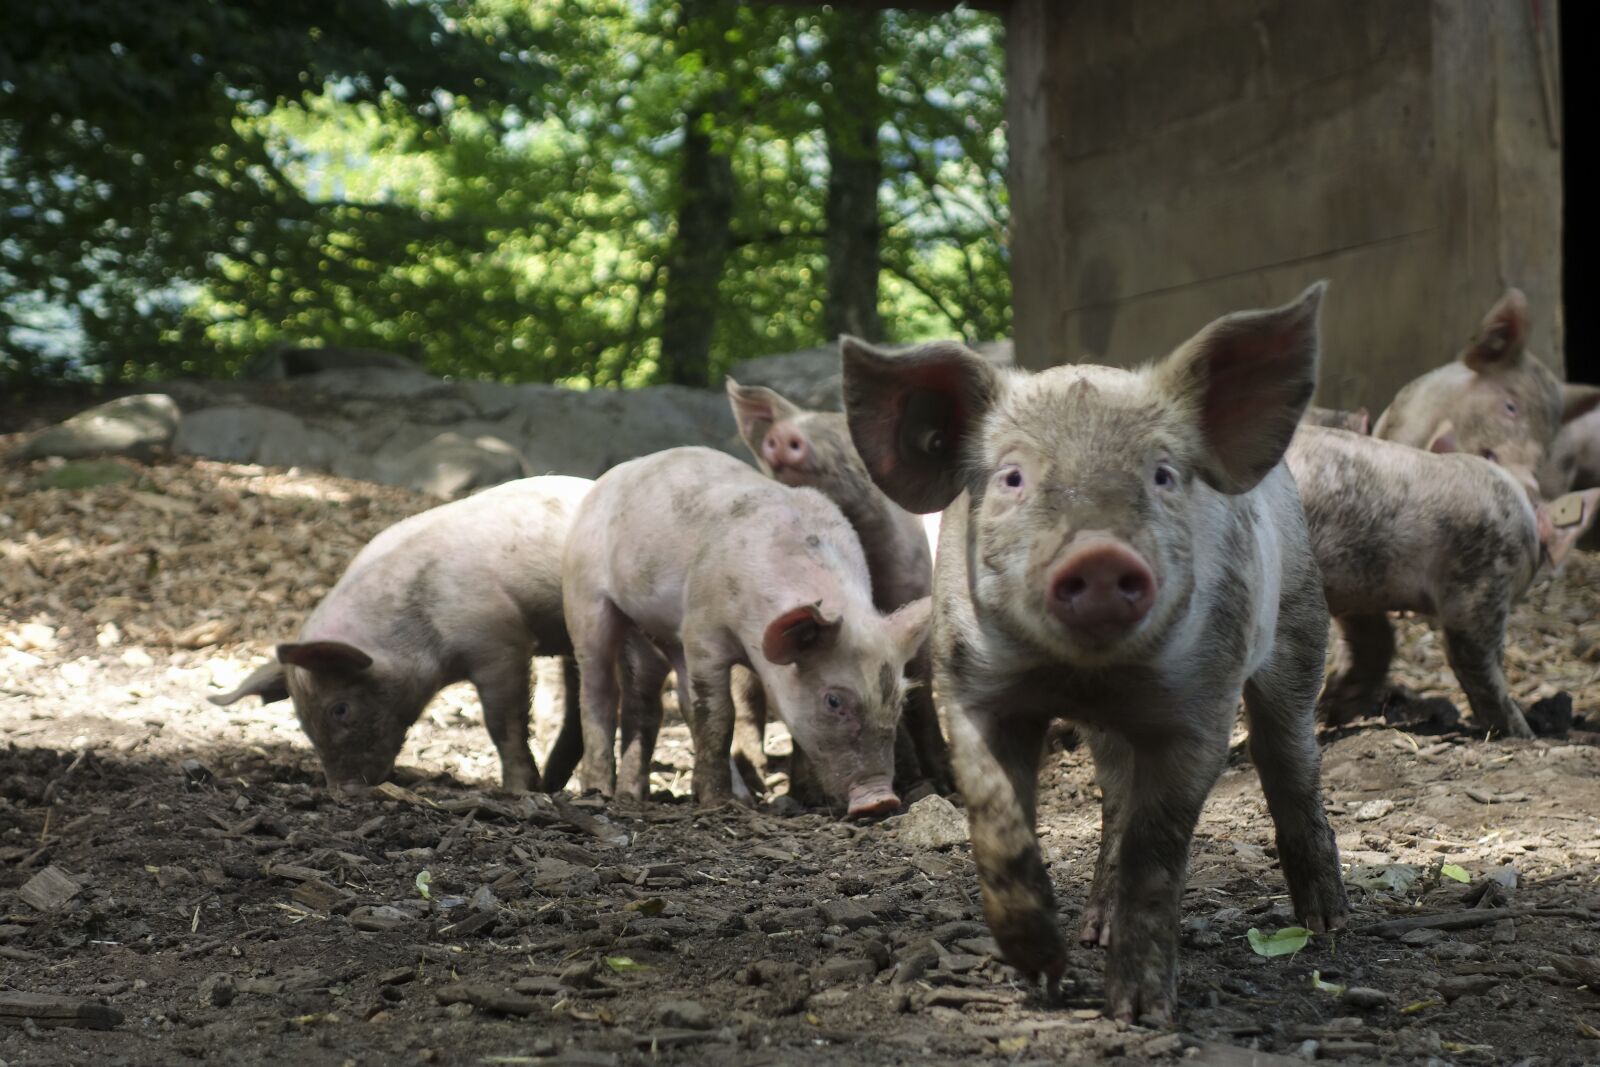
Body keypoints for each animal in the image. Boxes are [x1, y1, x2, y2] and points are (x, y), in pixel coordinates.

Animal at [209, 476, 593, 794]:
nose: (343, 790)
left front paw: (517, 791)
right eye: (301, 718)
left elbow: (502, 722)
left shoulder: (501, 641)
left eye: (340, 709)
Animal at [561, 446, 932, 817]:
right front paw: (717, 803)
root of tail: (616, 473)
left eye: (900, 698)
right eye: (834, 700)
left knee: (670, 700)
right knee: (598, 690)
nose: (881, 799)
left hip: (656, 632)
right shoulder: (702, 628)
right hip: (585, 595)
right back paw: (601, 791)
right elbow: (719, 714)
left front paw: (806, 799)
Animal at [725, 378, 954, 795]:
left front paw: (943, 784)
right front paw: (807, 795)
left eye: (845, 435)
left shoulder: (912, 592)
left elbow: (921, 695)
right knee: (747, 703)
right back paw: (756, 778)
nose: (783, 434)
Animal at [839, 283, 1349, 1023]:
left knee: (1288, 759)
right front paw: (1043, 973)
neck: (1084, 677)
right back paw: (1091, 930)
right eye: (1013, 477)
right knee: (1115, 800)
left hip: (1301, 622)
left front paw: (1141, 1013)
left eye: (1163, 474)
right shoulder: (969, 684)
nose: (1100, 554)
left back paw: (1328, 923)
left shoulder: (1202, 700)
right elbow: (997, 821)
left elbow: (1157, 849)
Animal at [1289, 425, 1600, 737]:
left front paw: (1332, 711)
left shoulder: (1361, 587)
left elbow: (1376, 640)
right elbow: (1476, 659)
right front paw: (1523, 735)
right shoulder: (1482, 577)